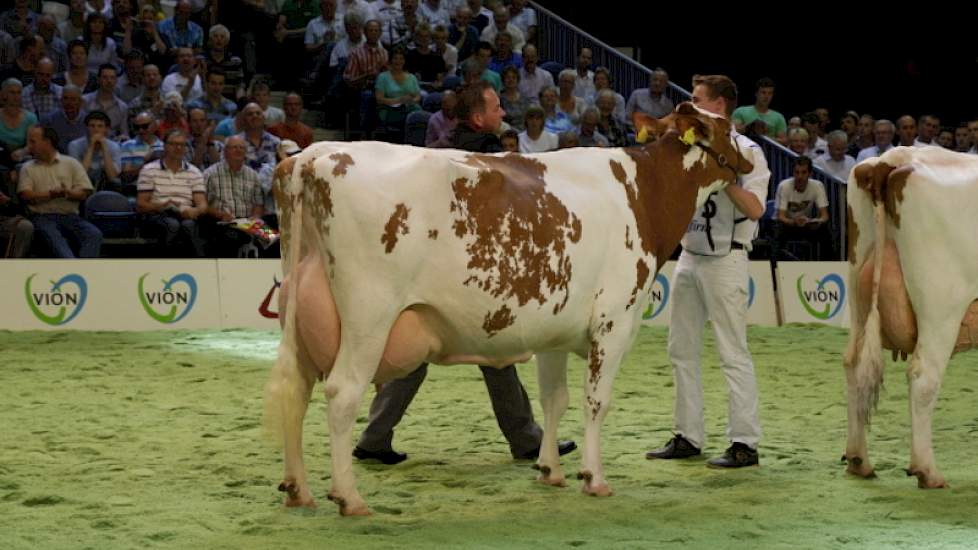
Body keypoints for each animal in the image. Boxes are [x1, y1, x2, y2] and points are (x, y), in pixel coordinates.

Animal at [264, 103, 752, 516]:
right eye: (728, 126)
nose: (751, 160)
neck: (642, 192)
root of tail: (313, 155)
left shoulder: (555, 329)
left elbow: (554, 399)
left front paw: (549, 469)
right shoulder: (614, 321)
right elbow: (596, 401)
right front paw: (593, 478)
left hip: (299, 315)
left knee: (294, 389)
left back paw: (297, 489)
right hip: (369, 315)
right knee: (342, 393)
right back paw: (349, 497)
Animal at [840, 146, 976, 488]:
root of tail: (892, 159)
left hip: (858, 290)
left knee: (852, 363)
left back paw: (859, 460)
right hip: (941, 305)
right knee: (924, 377)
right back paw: (927, 470)